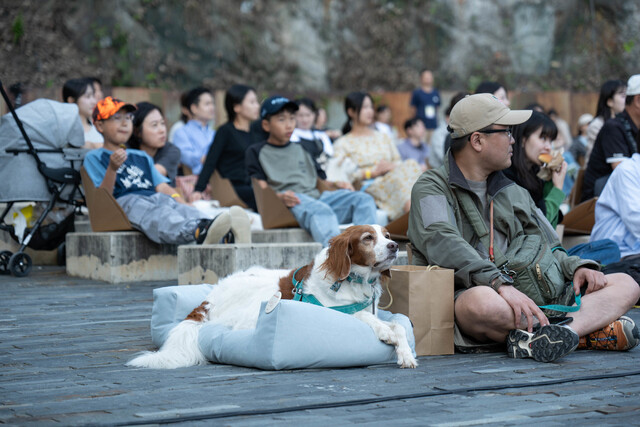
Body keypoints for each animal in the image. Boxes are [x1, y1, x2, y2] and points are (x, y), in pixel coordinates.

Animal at [127, 226, 418, 370]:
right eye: (368, 238)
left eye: (387, 236)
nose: (394, 246)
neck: (353, 280)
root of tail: (209, 298)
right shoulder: (334, 310)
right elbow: (365, 318)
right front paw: (386, 333)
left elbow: (399, 325)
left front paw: (405, 354)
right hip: (262, 299)